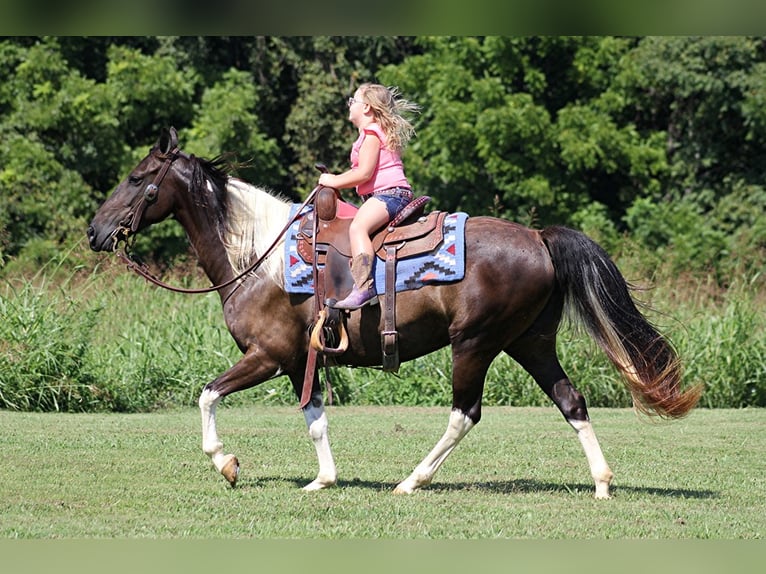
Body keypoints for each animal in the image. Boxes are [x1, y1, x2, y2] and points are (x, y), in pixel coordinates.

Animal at [88, 127, 704, 500]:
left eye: (138, 179)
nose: (96, 231)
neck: (257, 255)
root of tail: (538, 237)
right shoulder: (301, 360)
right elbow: (315, 417)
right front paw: (323, 480)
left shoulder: (269, 355)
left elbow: (207, 396)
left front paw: (227, 463)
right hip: (530, 341)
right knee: (571, 401)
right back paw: (601, 483)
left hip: (475, 343)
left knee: (465, 413)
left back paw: (412, 480)